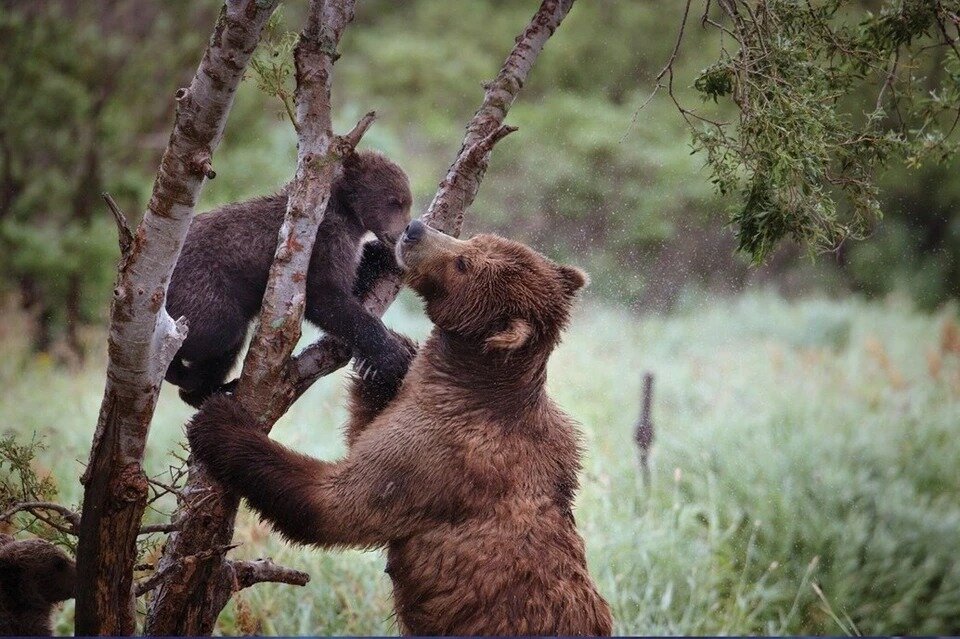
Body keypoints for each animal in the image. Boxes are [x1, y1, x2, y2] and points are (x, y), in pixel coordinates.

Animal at [166, 150, 412, 408]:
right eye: (394, 201)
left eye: (407, 201)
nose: (402, 232)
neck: (346, 214)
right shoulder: (322, 242)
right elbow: (326, 299)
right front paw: (390, 354)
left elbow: (353, 284)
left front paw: (389, 256)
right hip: (203, 290)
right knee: (220, 334)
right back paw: (183, 372)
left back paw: (209, 388)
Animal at [188, 220, 616, 636]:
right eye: (476, 239)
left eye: (464, 263)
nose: (414, 230)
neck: (472, 381)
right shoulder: (552, 438)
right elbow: (366, 430)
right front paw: (387, 357)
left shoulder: (438, 455)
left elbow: (339, 502)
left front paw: (219, 422)